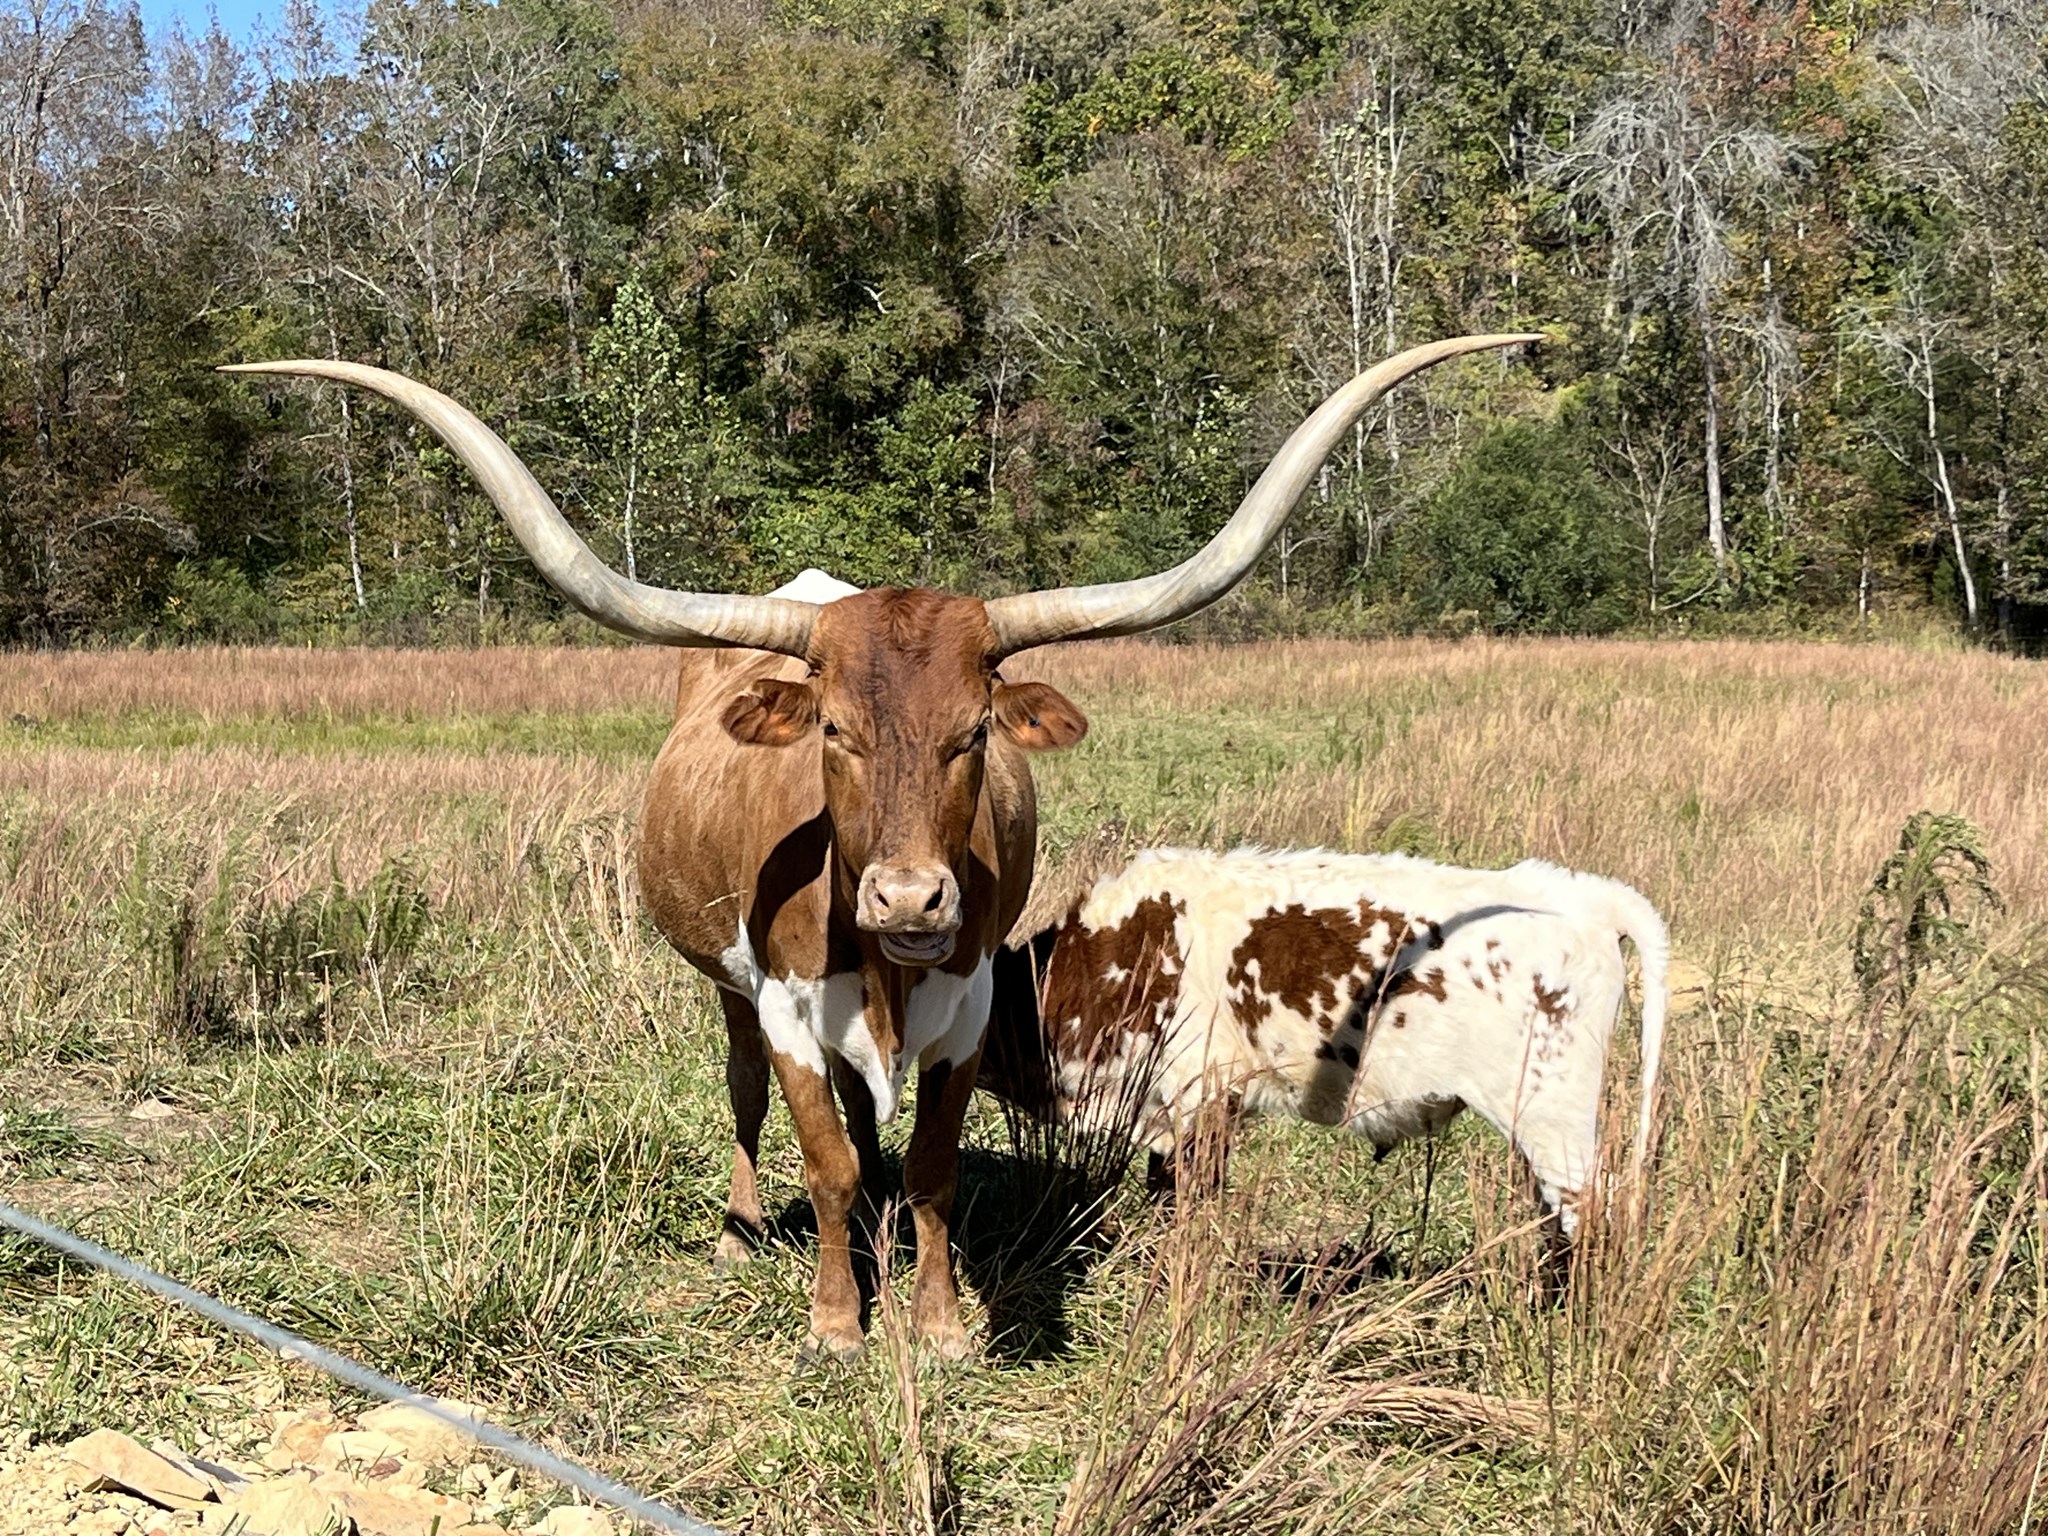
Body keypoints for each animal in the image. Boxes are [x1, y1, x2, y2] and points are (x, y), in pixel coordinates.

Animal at [222, 334, 1539, 1360]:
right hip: (727, 991)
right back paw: (747, 1229)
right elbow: (824, 1159)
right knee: (748, 1097)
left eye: (971, 734)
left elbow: (932, 1165)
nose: (909, 903)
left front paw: (938, 1319)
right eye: (836, 733)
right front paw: (835, 1322)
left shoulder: (965, 1005)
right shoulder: (788, 1002)